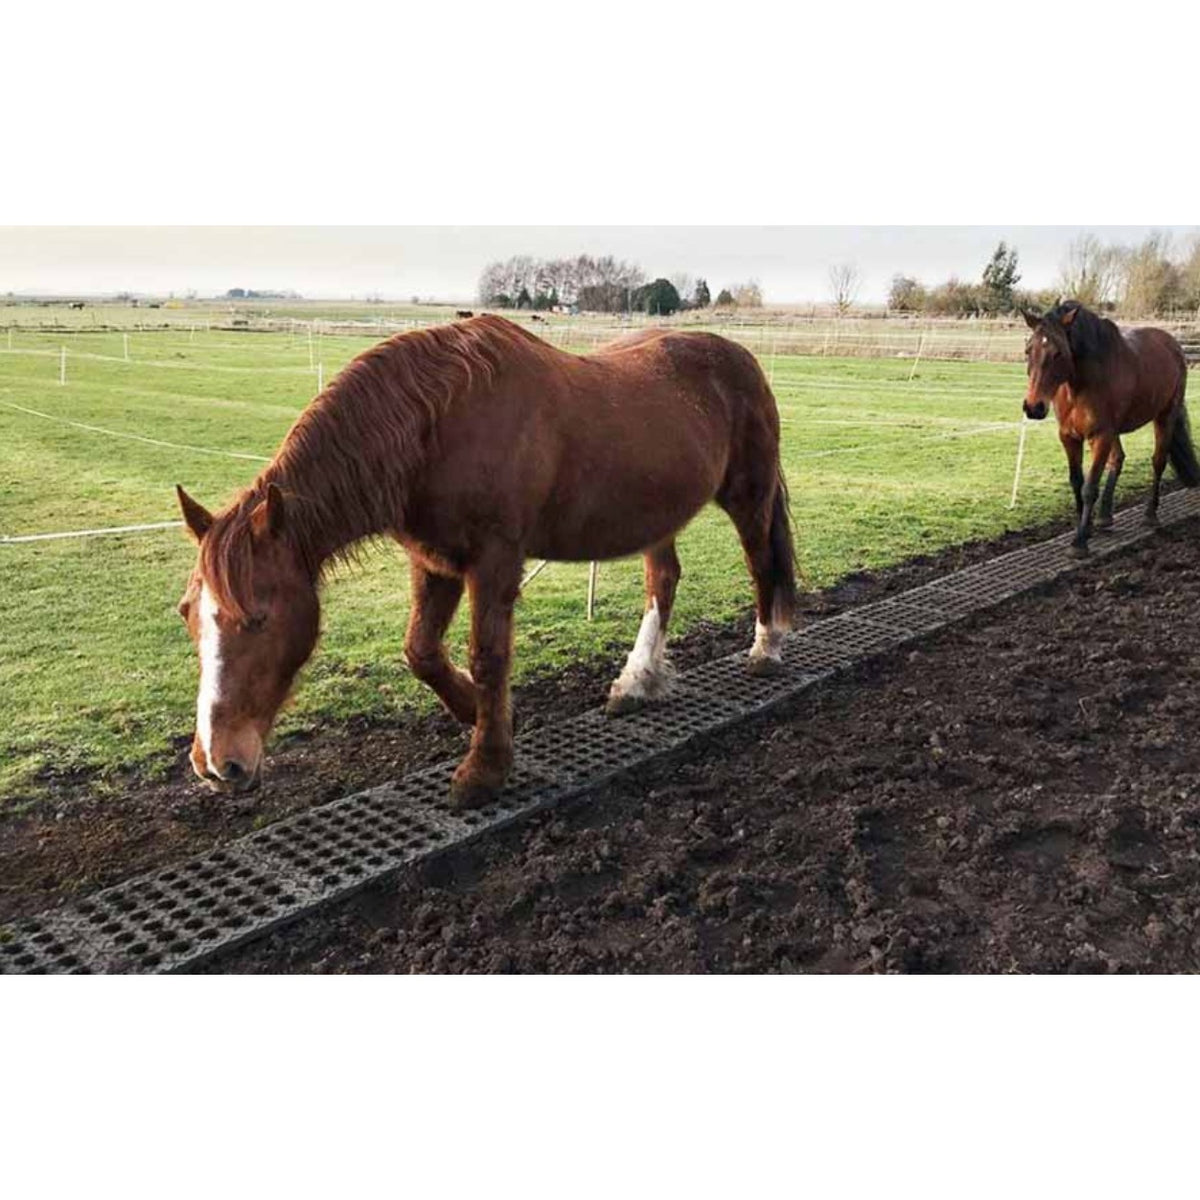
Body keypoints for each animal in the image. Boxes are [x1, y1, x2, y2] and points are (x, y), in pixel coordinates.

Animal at [175, 315, 798, 808]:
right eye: (187, 614)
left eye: (259, 617)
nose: (216, 764)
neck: (436, 426)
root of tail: (740, 355)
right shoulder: (435, 561)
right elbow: (421, 651)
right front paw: (478, 714)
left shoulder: (495, 561)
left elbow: (489, 655)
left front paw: (486, 767)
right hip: (656, 513)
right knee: (663, 580)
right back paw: (637, 681)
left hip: (749, 494)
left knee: (759, 562)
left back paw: (765, 649)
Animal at [1022, 301, 1196, 556]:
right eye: (1028, 351)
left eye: (1058, 352)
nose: (1034, 407)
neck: (1079, 385)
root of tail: (1173, 344)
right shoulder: (1069, 437)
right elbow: (1077, 482)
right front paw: (1086, 528)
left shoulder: (1100, 436)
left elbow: (1089, 487)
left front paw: (1080, 542)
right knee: (1118, 458)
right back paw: (1104, 516)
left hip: (1165, 416)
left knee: (1158, 461)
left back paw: (1150, 514)